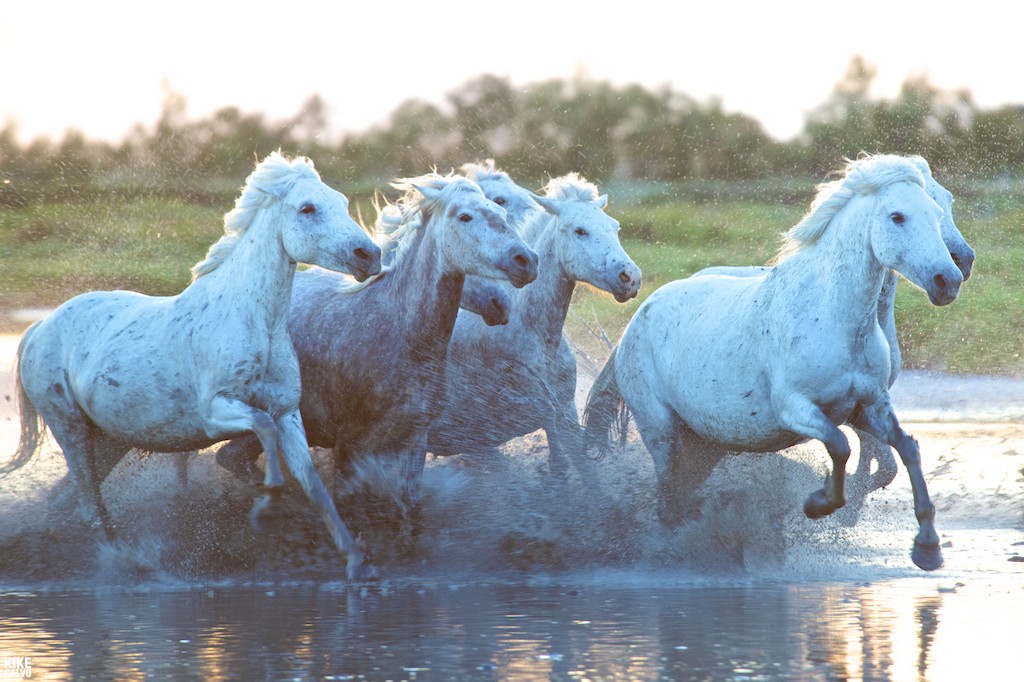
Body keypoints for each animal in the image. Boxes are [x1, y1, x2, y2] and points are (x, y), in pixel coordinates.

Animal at [4, 151, 385, 577]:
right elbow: (262, 428)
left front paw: (356, 562)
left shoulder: (289, 414)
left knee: (67, 502)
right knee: (92, 509)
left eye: (341, 202)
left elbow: (315, 487)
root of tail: (40, 327)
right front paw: (267, 503)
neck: (252, 321)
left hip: (106, 439)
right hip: (69, 428)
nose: (370, 255)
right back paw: (124, 565)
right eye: (307, 208)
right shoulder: (216, 412)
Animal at [585, 152, 958, 569]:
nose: (948, 279)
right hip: (661, 432)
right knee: (667, 501)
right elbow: (841, 446)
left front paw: (928, 548)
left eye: (936, 212)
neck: (831, 314)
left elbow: (907, 450)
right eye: (897, 216)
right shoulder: (795, 408)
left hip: (706, 443)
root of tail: (635, 321)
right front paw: (818, 504)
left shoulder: (869, 406)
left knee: (681, 499)